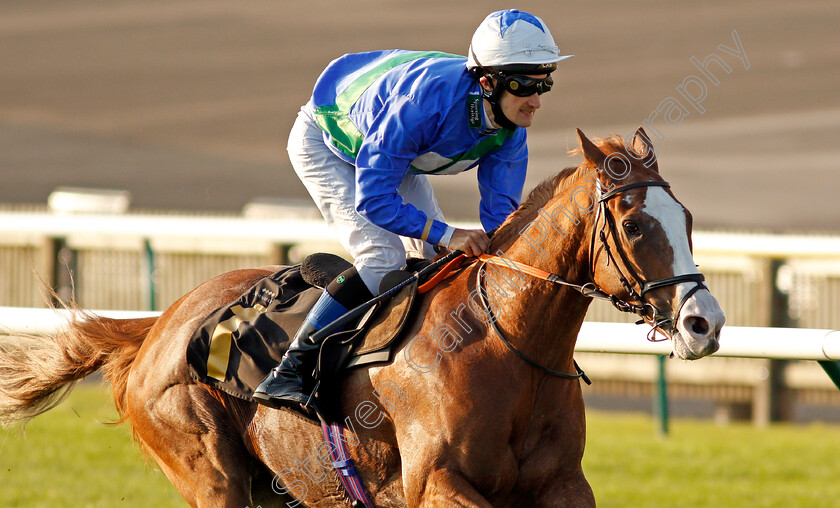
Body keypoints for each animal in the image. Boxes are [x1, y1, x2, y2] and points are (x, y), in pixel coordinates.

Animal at [0, 129, 720, 506]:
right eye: (634, 223)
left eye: (687, 217)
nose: (703, 323)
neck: (506, 348)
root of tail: (159, 324)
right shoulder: (435, 485)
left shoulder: (564, 487)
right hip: (210, 472)